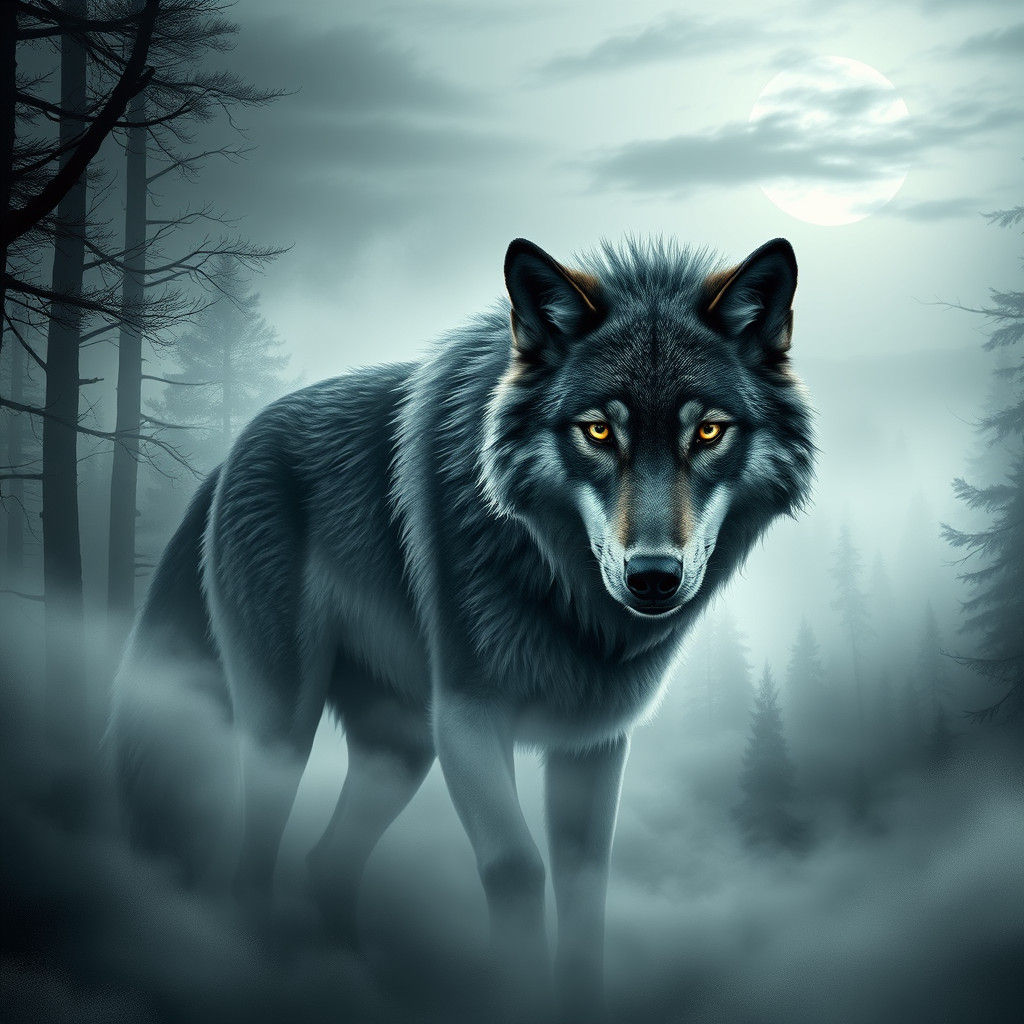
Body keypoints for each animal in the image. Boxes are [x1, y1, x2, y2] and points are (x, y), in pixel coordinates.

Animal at [112, 235, 814, 1017]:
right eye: (599, 430)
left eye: (709, 431)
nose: (653, 576)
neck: (559, 588)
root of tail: (232, 454)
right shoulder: (469, 717)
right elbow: (516, 869)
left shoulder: (593, 744)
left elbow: (584, 895)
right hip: (284, 731)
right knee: (251, 866)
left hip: (400, 748)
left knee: (325, 863)